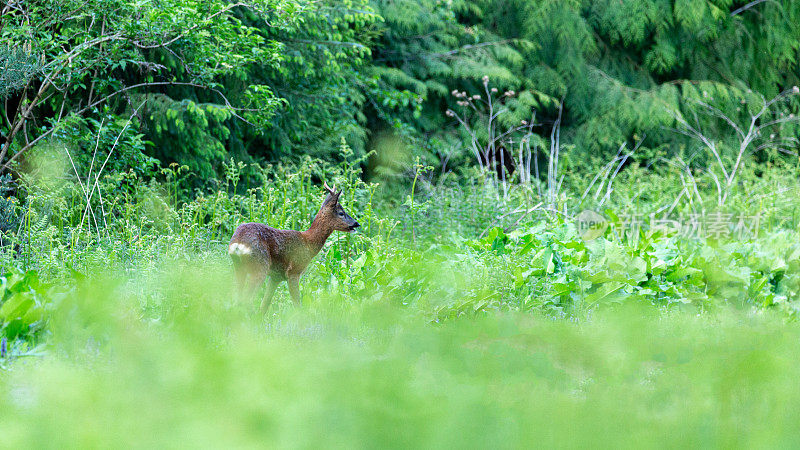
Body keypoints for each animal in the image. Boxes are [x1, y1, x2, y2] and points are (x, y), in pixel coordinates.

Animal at [228, 181, 360, 312]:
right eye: (341, 213)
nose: (356, 223)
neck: (308, 243)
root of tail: (238, 242)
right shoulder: (294, 271)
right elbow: (297, 305)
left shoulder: (276, 277)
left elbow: (264, 306)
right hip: (260, 265)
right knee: (246, 299)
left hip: (239, 267)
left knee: (237, 298)